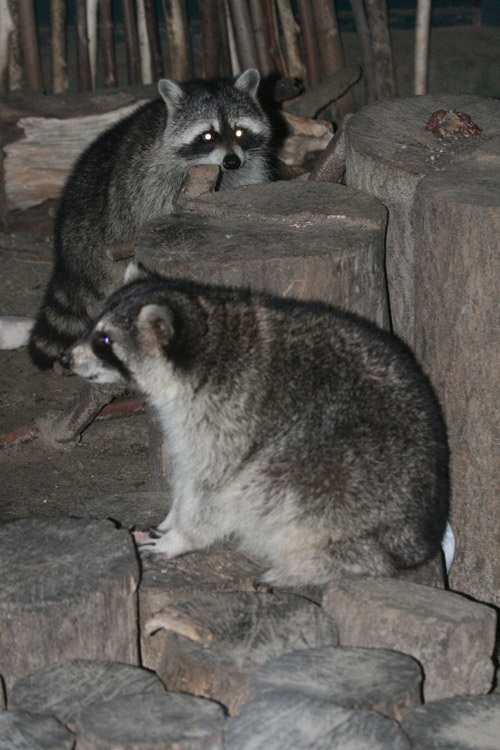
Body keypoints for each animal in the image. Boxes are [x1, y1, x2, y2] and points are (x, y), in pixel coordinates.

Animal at [27, 72, 272, 372]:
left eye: (239, 132)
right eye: (208, 135)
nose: (232, 161)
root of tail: (65, 250)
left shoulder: (244, 175)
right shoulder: (153, 182)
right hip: (101, 247)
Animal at [61, 264, 450, 588]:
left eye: (105, 341)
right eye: (94, 328)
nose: (64, 358)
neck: (208, 340)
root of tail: (420, 540)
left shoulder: (230, 421)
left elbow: (214, 491)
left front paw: (182, 537)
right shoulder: (191, 423)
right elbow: (187, 474)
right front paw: (171, 517)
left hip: (343, 497)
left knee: (272, 489)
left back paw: (305, 568)